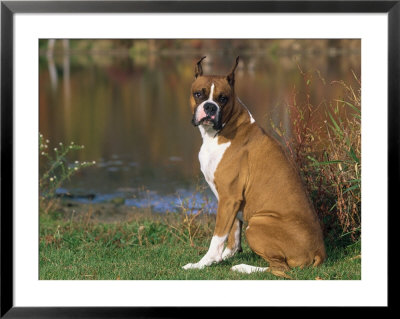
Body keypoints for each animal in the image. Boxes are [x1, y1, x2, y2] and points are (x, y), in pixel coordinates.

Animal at [183, 56, 326, 276]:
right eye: (198, 94)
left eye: (223, 98)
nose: (210, 107)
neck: (222, 130)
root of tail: (319, 252)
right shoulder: (230, 201)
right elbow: (232, 235)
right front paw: (224, 257)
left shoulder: (228, 197)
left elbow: (217, 238)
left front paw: (203, 263)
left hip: (258, 225)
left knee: (280, 269)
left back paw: (243, 268)